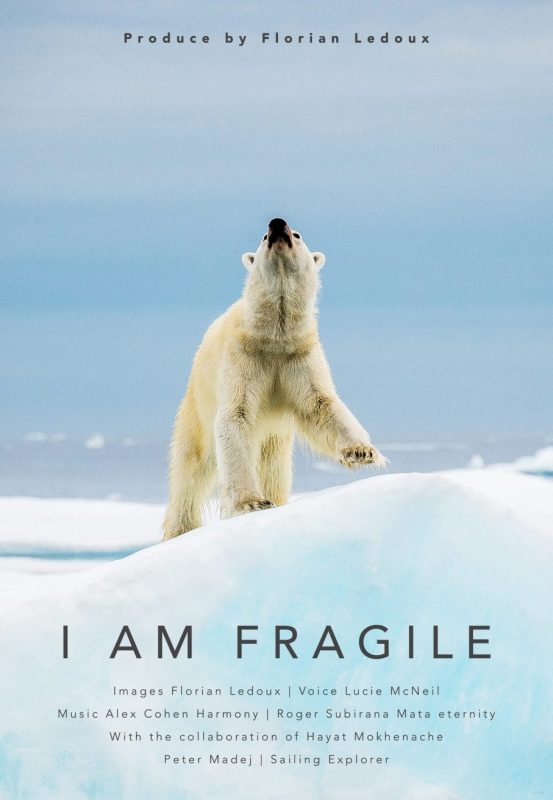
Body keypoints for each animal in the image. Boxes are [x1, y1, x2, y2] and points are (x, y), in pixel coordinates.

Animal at [162, 218, 385, 540]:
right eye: (264, 235)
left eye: (297, 234)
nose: (277, 223)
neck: (273, 336)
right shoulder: (244, 357)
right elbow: (236, 416)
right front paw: (252, 502)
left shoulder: (298, 356)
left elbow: (321, 405)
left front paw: (361, 451)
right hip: (195, 411)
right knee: (189, 473)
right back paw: (180, 530)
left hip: (275, 441)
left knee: (274, 472)